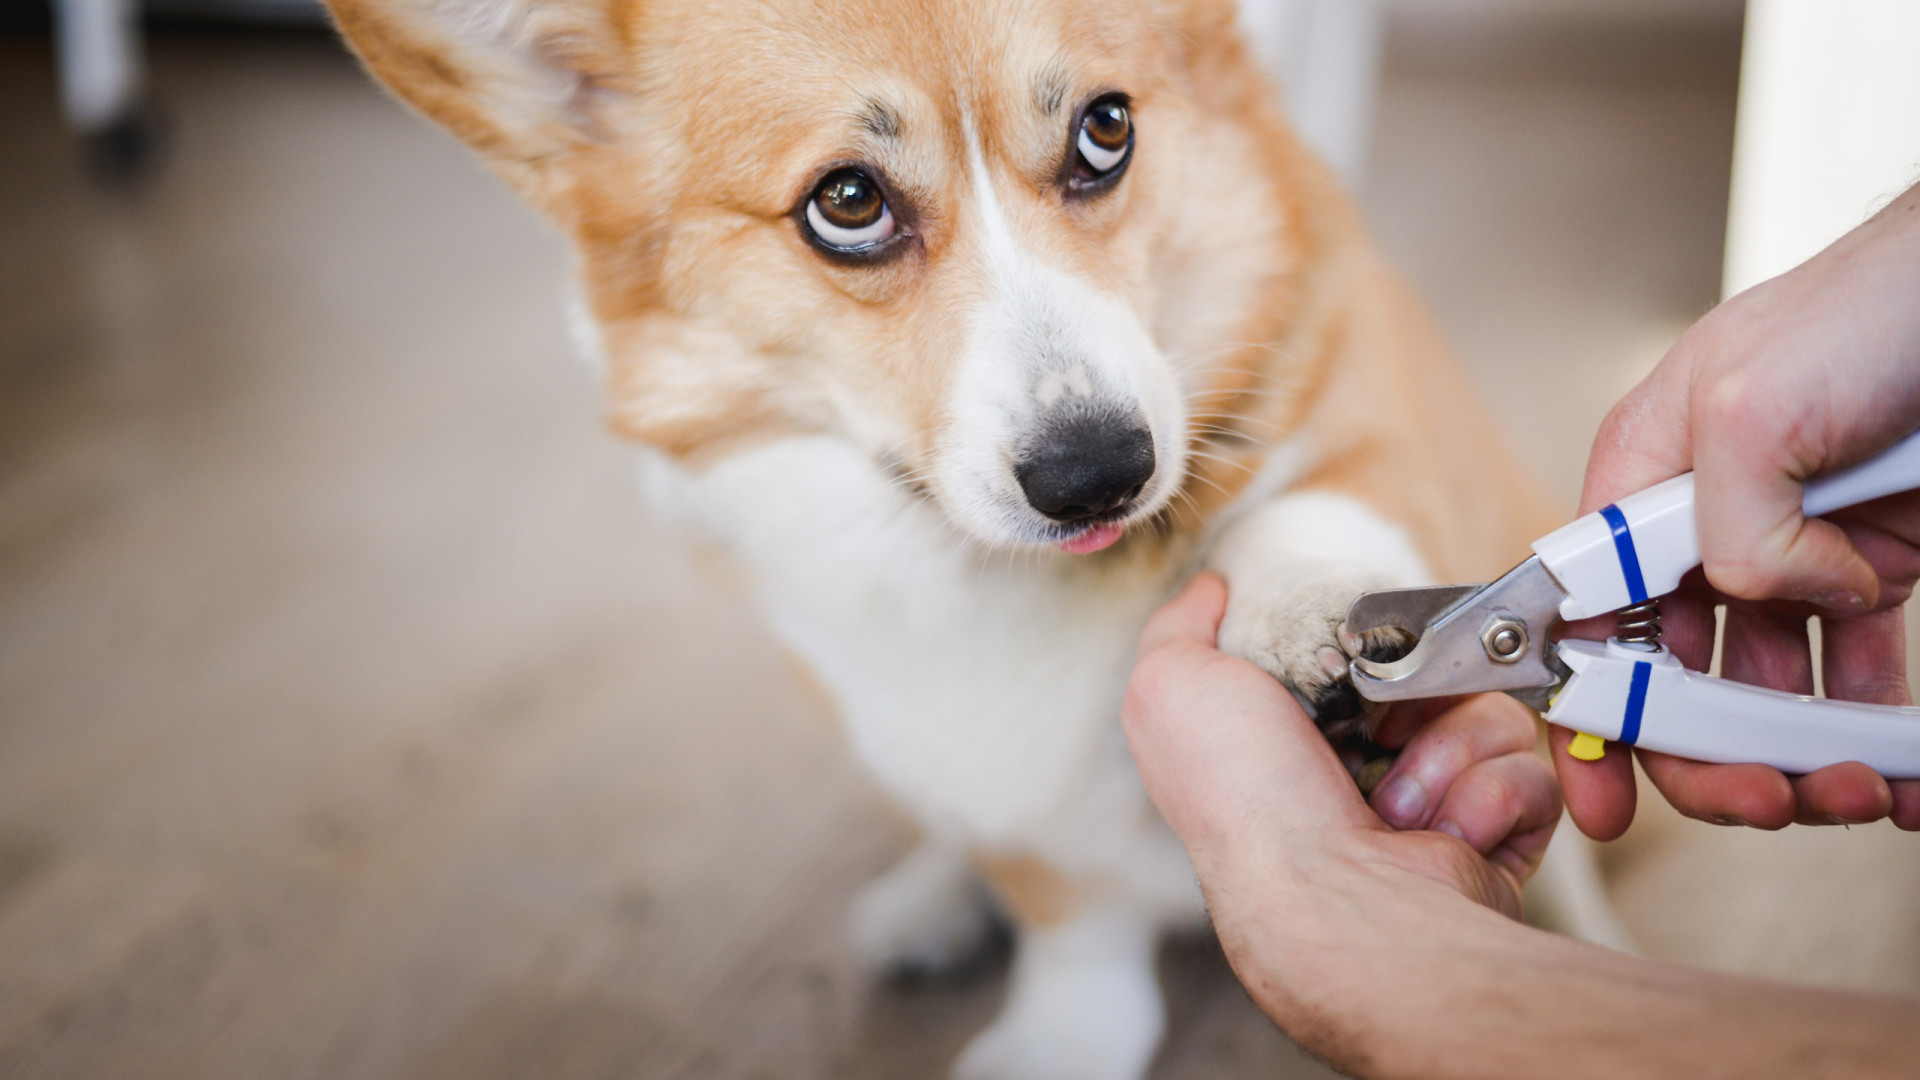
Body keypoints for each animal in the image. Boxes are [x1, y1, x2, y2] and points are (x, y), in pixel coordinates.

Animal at [330, 0, 1582, 1068]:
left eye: (1106, 129)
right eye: (846, 201)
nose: (1100, 476)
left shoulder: (1374, 419)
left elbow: (1316, 501)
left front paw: (1299, 602)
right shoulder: (978, 769)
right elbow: (1067, 914)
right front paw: (1061, 1038)